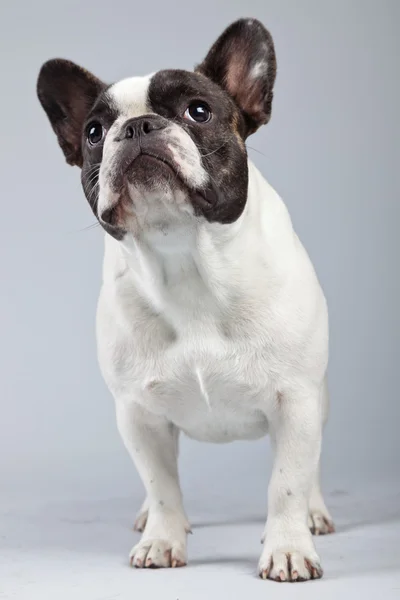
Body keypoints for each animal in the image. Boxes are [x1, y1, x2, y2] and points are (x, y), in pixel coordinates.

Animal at [37, 17, 334, 580]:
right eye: (94, 132)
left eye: (199, 111)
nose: (137, 127)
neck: (186, 262)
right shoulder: (138, 414)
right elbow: (161, 485)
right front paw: (161, 539)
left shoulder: (296, 401)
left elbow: (286, 481)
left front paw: (288, 547)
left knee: (308, 470)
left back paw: (314, 512)